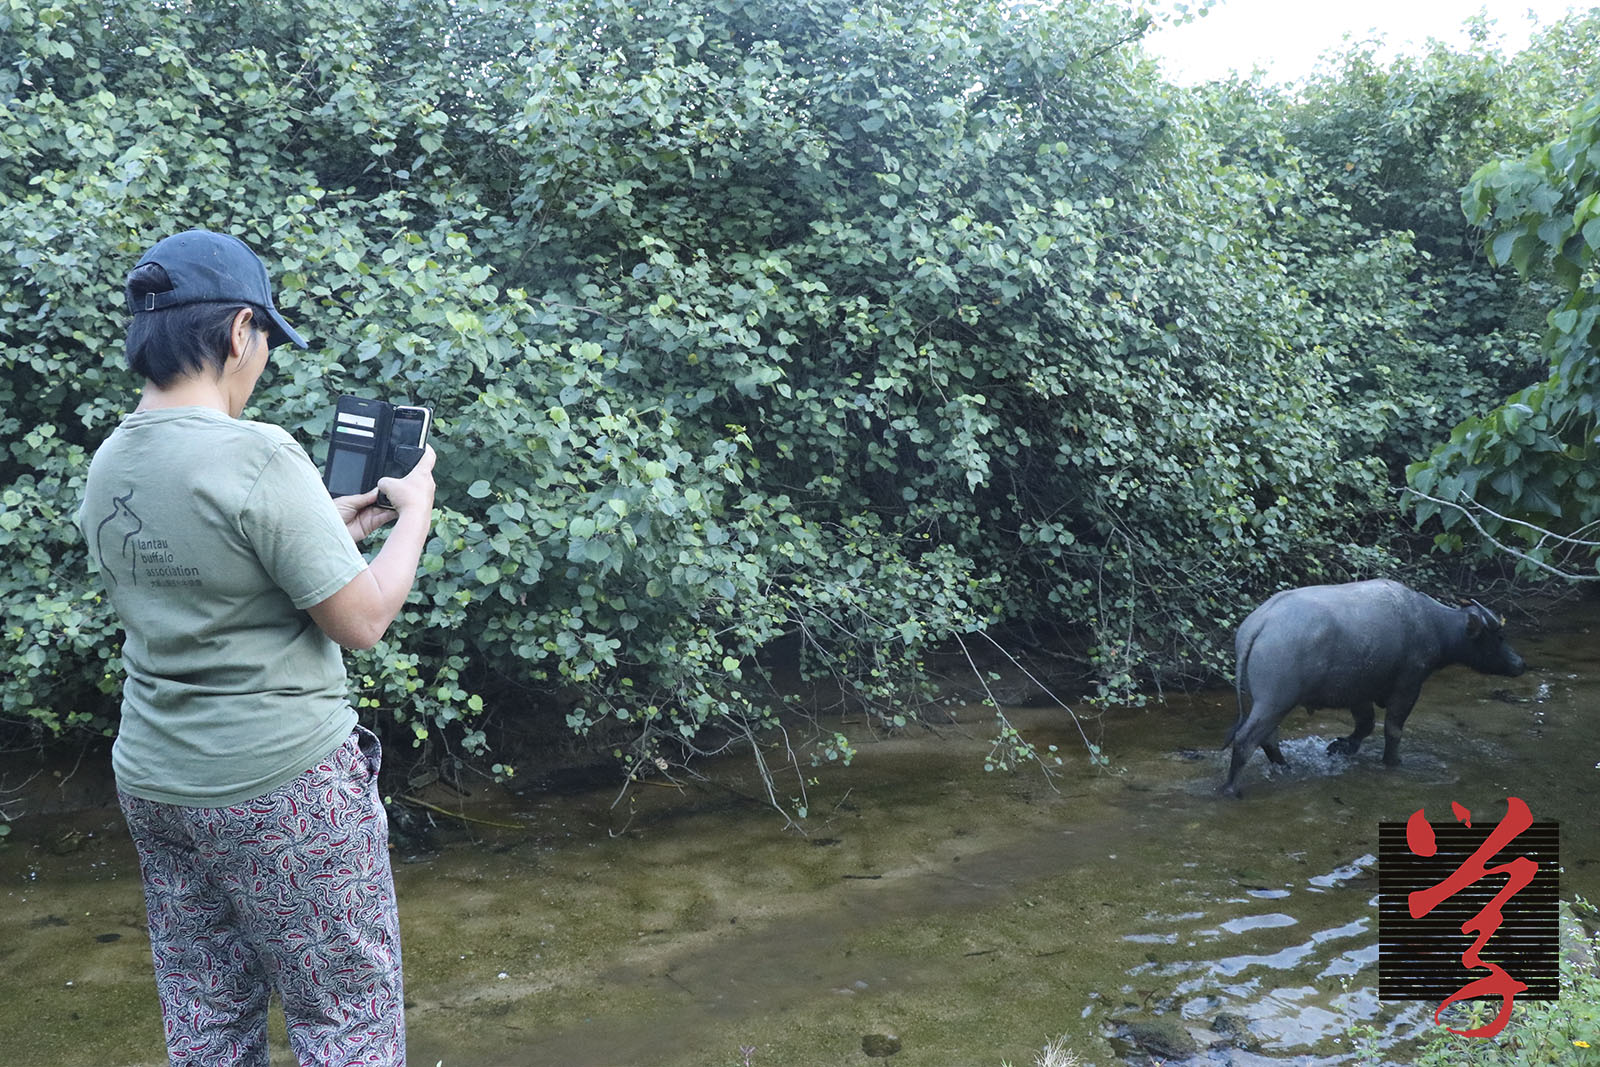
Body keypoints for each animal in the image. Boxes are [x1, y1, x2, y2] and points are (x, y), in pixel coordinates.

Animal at [1216, 579, 1529, 796]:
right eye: (1499, 636)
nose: (1520, 664)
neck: (1432, 625)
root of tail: (1258, 625)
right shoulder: (1408, 686)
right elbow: (1393, 729)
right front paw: (1393, 761)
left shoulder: (1359, 693)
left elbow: (1365, 725)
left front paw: (1341, 747)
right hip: (1275, 701)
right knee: (1246, 739)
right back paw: (1230, 788)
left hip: (1266, 702)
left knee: (1268, 738)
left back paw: (1286, 767)